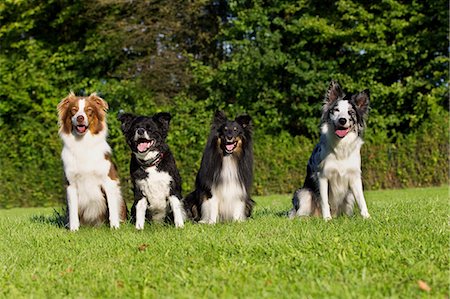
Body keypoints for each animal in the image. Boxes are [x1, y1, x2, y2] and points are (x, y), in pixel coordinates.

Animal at [57, 92, 126, 231]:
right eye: (74, 110)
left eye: (89, 110)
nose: (80, 118)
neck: (83, 143)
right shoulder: (71, 184)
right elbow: (73, 211)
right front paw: (74, 230)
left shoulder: (109, 181)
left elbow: (112, 209)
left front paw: (114, 228)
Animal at [290, 81, 370, 221]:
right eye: (336, 110)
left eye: (350, 112)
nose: (342, 120)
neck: (340, 146)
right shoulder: (322, 176)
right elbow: (324, 201)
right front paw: (327, 219)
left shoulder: (354, 177)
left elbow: (361, 200)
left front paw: (367, 217)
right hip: (304, 193)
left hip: (348, 196)